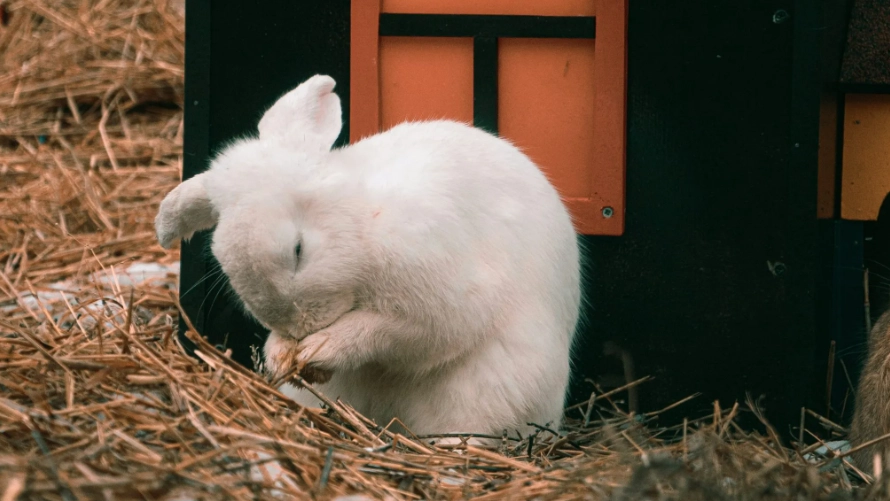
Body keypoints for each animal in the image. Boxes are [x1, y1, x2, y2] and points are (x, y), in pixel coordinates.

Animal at [155, 74, 582, 442]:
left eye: (298, 249)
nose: (298, 327)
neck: (363, 224)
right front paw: (280, 355)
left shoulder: (435, 307)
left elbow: (382, 332)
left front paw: (317, 348)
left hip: (483, 393)